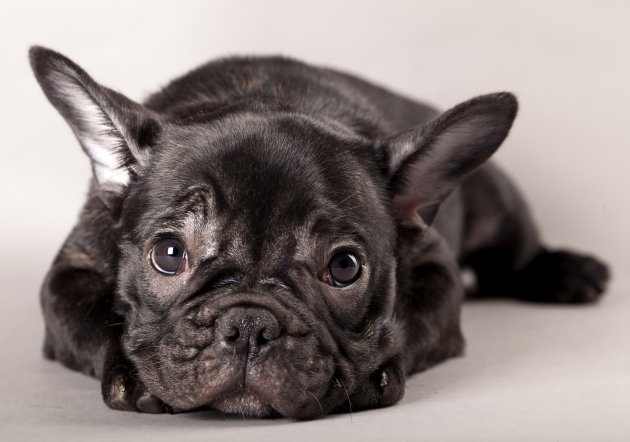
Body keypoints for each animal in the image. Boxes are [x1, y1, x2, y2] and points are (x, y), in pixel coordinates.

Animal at [30, 46, 612, 420]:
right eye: (170, 254)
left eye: (344, 267)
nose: (249, 324)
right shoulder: (70, 273)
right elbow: (89, 319)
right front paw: (130, 371)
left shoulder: (436, 272)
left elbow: (409, 321)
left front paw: (375, 373)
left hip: (500, 210)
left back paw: (568, 272)